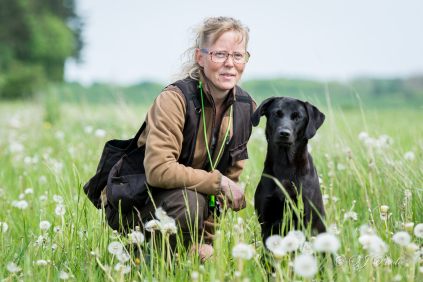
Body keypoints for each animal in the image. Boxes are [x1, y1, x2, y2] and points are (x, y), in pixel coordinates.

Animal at [252, 96, 328, 243]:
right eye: (276, 114)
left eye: (298, 117)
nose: (284, 133)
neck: (285, 166)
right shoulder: (266, 223)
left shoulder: (305, 221)